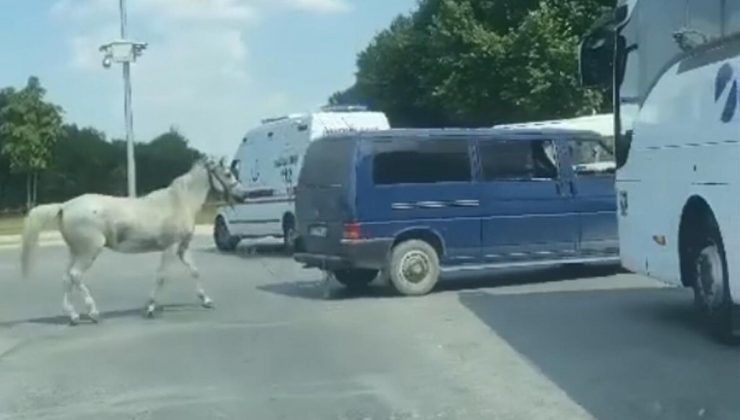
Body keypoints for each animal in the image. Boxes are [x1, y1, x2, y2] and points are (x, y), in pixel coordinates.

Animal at [20, 158, 240, 324]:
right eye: (227, 174)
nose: (242, 194)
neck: (179, 202)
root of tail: (64, 206)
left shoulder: (182, 248)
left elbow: (194, 271)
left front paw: (207, 300)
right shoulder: (171, 247)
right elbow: (161, 276)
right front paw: (149, 308)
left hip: (75, 251)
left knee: (66, 278)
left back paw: (73, 316)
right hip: (89, 251)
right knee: (75, 275)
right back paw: (93, 313)